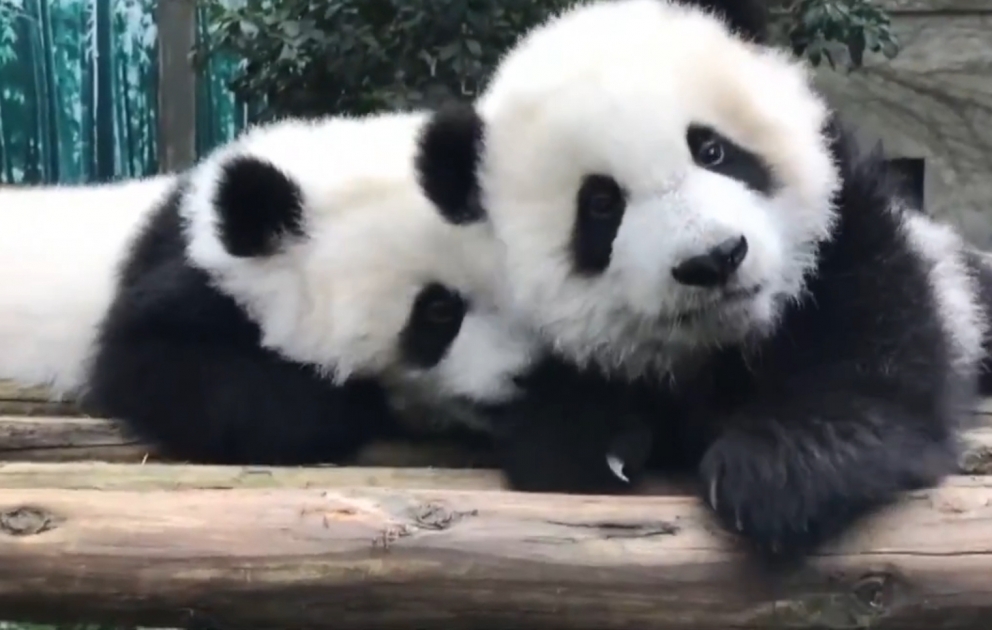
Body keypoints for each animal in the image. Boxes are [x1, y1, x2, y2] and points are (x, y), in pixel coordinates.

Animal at [413, 0, 991, 558]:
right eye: (600, 204)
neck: (722, 344)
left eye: (712, 150)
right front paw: (600, 446)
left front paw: (777, 471)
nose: (715, 259)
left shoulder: (849, 228)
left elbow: (875, 352)